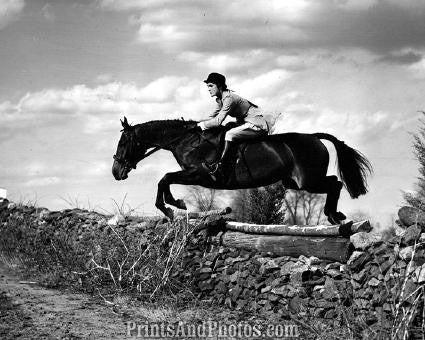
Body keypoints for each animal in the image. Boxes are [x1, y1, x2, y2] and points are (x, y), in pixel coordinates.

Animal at [112, 118, 372, 224]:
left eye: (124, 142)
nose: (116, 172)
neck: (187, 140)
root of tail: (315, 137)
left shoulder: (201, 174)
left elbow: (165, 178)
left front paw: (172, 206)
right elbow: (165, 179)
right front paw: (174, 204)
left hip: (307, 180)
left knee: (336, 183)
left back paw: (334, 215)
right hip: (294, 182)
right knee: (334, 182)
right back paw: (334, 215)